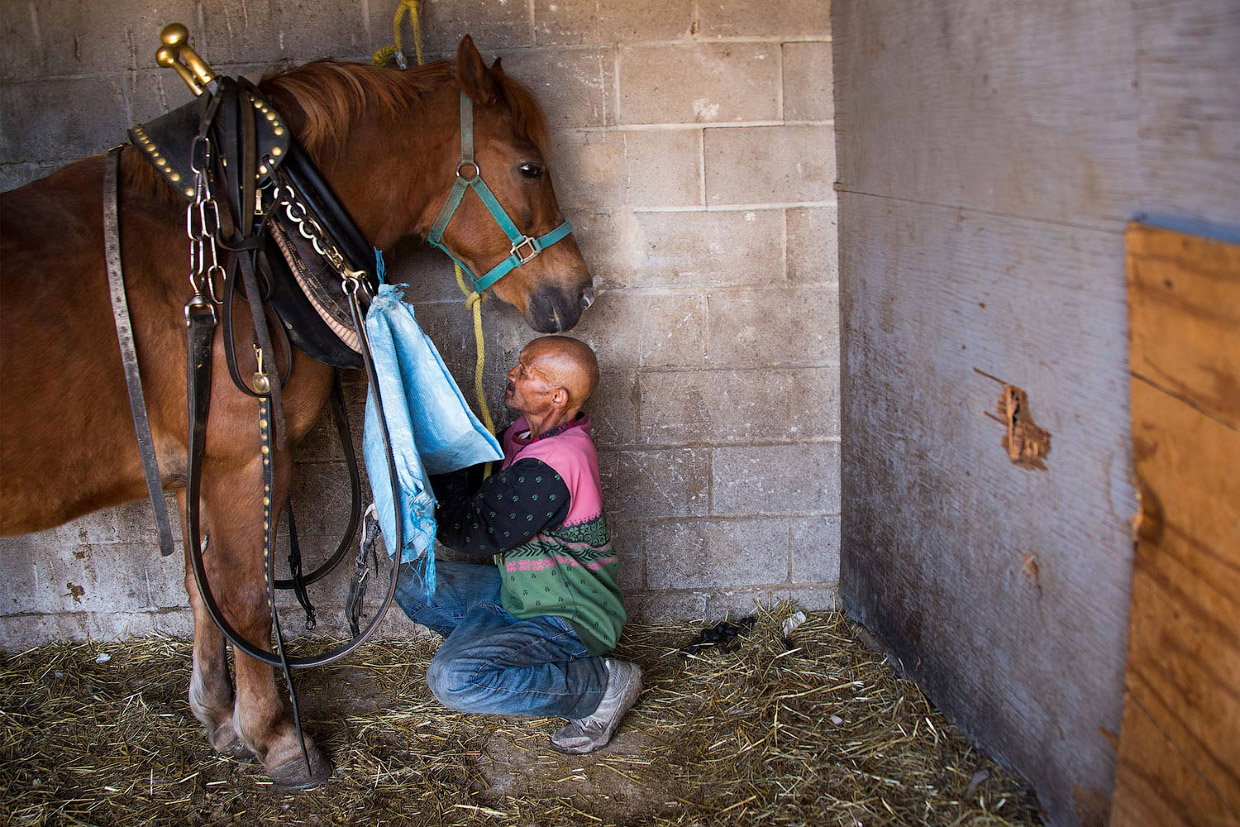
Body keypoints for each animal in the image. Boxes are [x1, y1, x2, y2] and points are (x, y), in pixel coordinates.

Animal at [0, 37, 595, 788]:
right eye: (529, 166)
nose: (580, 292)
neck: (247, 246)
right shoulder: (242, 461)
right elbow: (246, 599)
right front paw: (279, 740)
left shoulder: (197, 469)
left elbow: (202, 588)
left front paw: (218, 717)